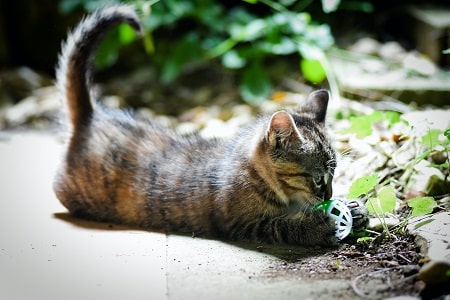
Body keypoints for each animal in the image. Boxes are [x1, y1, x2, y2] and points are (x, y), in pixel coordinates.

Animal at [53, 5, 362, 246]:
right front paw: (315, 226)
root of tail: (92, 115)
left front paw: (356, 209)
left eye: (334, 175)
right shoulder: (242, 224)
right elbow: (281, 226)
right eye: (318, 178)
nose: (329, 195)